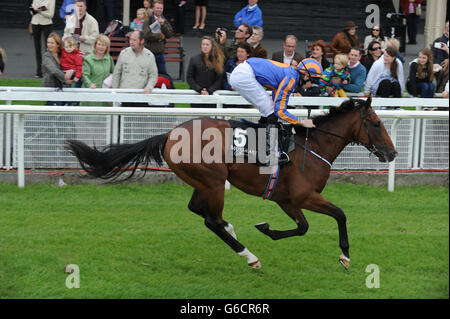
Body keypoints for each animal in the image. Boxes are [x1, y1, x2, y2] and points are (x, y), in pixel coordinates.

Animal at [66, 97, 398, 270]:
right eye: (377, 123)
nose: (392, 153)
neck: (312, 146)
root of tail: (169, 134)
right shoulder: (304, 196)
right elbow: (340, 214)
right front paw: (345, 255)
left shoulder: (287, 199)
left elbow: (302, 227)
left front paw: (267, 229)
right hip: (212, 180)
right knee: (210, 220)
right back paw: (248, 255)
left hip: (202, 180)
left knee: (199, 210)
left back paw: (234, 232)